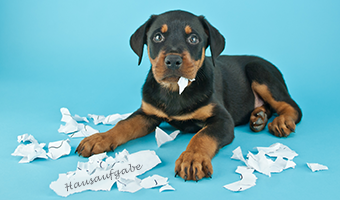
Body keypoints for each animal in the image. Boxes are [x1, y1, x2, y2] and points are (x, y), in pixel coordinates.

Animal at [75, 10, 302, 182]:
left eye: (194, 39)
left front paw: (192, 159)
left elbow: (202, 136)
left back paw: (281, 122)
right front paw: (100, 138)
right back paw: (258, 117)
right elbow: (124, 124)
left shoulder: (222, 120)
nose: (173, 60)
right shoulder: (147, 112)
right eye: (157, 37)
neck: (175, 90)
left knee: (293, 107)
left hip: (259, 71)